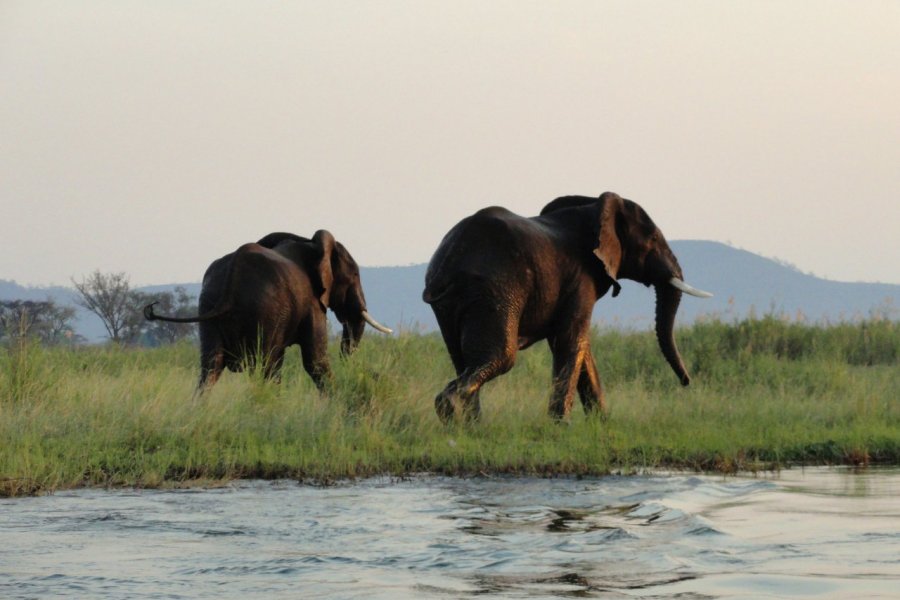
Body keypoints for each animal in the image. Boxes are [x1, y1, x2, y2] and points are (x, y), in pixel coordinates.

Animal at [144, 227, 390, 392]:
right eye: (355, 275)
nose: (373, 374)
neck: (311, 244)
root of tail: (235, 272)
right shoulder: (311, 303)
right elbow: (316, 361)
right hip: (266, 309)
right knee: (265, 366)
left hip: (209, 302)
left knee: (211, 366)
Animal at [426, 192, 712, 422]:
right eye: (652, 239)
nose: (686, 382)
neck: (594, 207)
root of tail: (448, 261)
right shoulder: (581, 277)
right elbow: (571, 339)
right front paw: (561, 426)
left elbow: (580, 346)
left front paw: (602, 424)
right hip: (495, 290)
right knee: (501, 356)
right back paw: (449, 411)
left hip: (453, 303)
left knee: (462, 358)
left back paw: (472, 427)